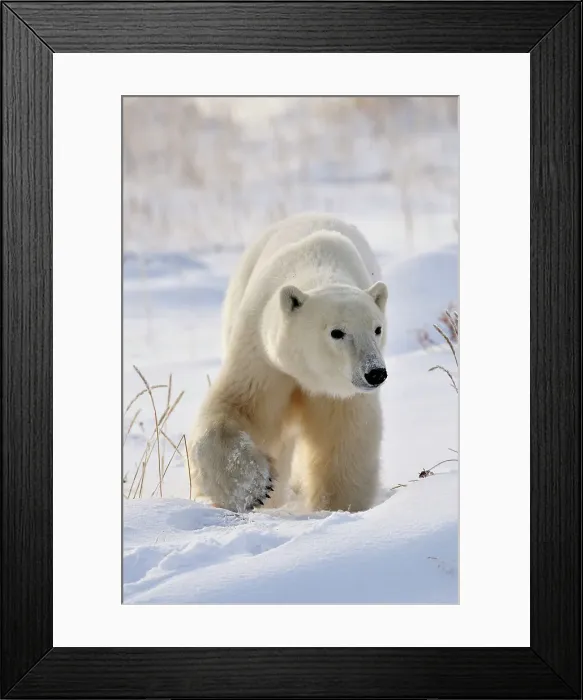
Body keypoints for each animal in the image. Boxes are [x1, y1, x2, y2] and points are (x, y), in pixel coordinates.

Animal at [187, 213, 388, 514]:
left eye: (377, 329)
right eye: (337, 332)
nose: (375, 373)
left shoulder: (342, 394)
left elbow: (345, 440)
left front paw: (338, 507)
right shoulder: (261, 353)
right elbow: (236, 407)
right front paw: (254, 488)